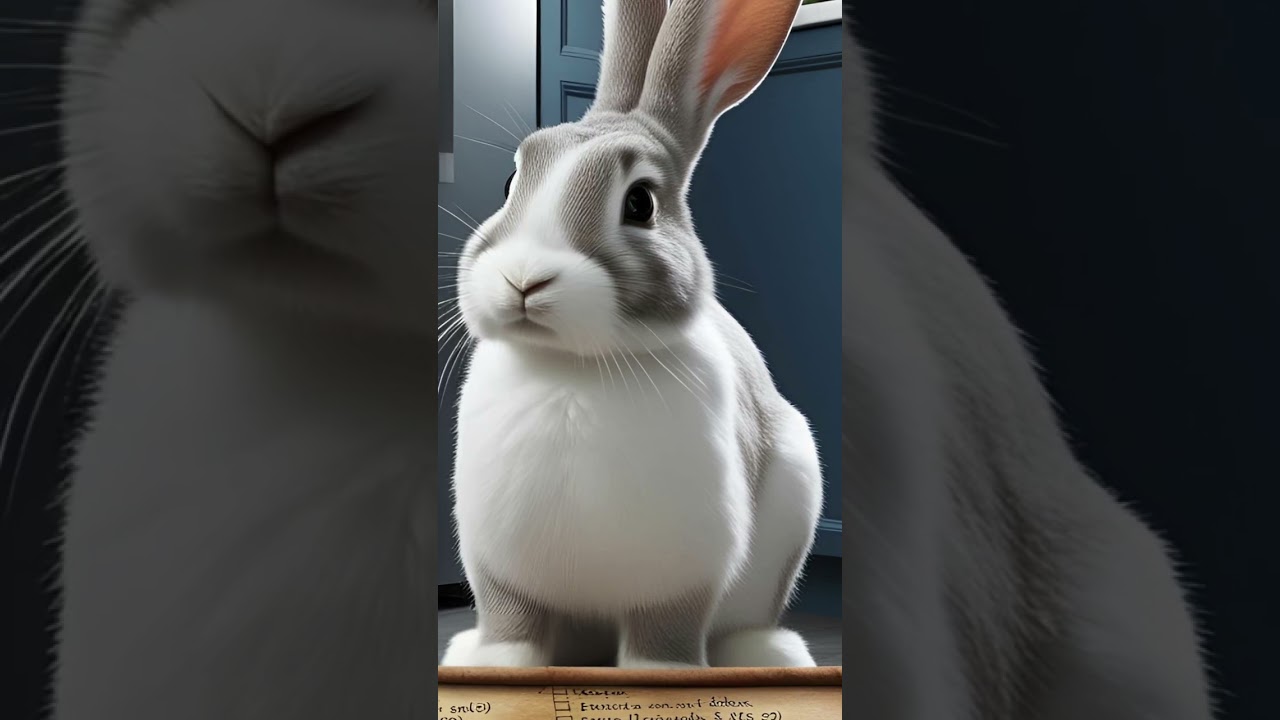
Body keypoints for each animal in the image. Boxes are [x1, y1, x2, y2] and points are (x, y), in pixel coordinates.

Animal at [439, 0, 823, 669]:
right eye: (510, 185)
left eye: (640, 203)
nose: (524, 278)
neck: (573, 367)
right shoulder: (498, 566)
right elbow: (512, 619)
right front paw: (496, 663)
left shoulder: (681, 576)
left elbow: (664, 628)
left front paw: (662, 672)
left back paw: (768, 653)